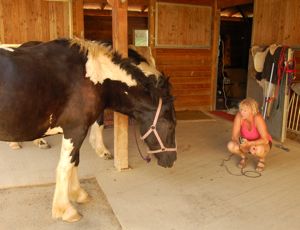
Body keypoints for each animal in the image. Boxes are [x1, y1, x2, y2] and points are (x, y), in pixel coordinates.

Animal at [0, 38, 177, 223]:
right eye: (171, 125)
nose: (172, 160)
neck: (93, 77)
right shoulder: (75, 131)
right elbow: (65, 166)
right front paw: (66, 210)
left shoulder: (78, 130)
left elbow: (75, 162)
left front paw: (78, 194)